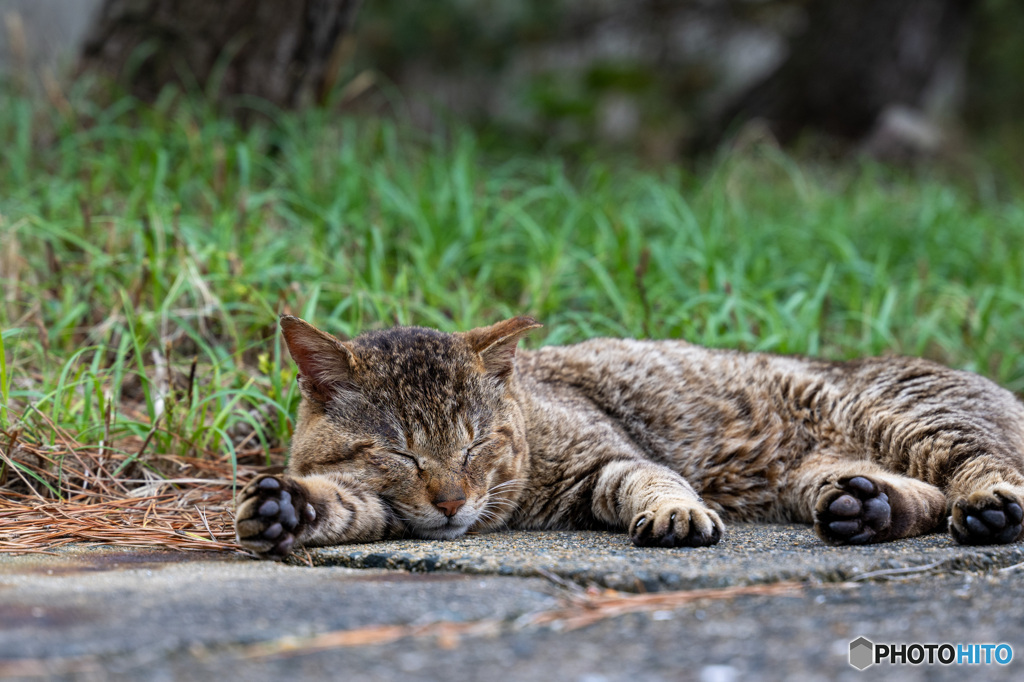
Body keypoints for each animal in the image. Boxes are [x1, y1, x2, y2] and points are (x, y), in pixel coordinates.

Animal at [234, 313, 1024, 552]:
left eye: (476, 442)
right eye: (400, 451)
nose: (453, 501)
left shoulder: (608, 459)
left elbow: (651, 478)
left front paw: (676, 513)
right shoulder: (383, 504)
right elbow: (345, 505)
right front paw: (287, 508)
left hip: (912, 417)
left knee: (985, 468)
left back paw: (989, 507)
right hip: (819, 478)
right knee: (919, 498)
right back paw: (872, 509)